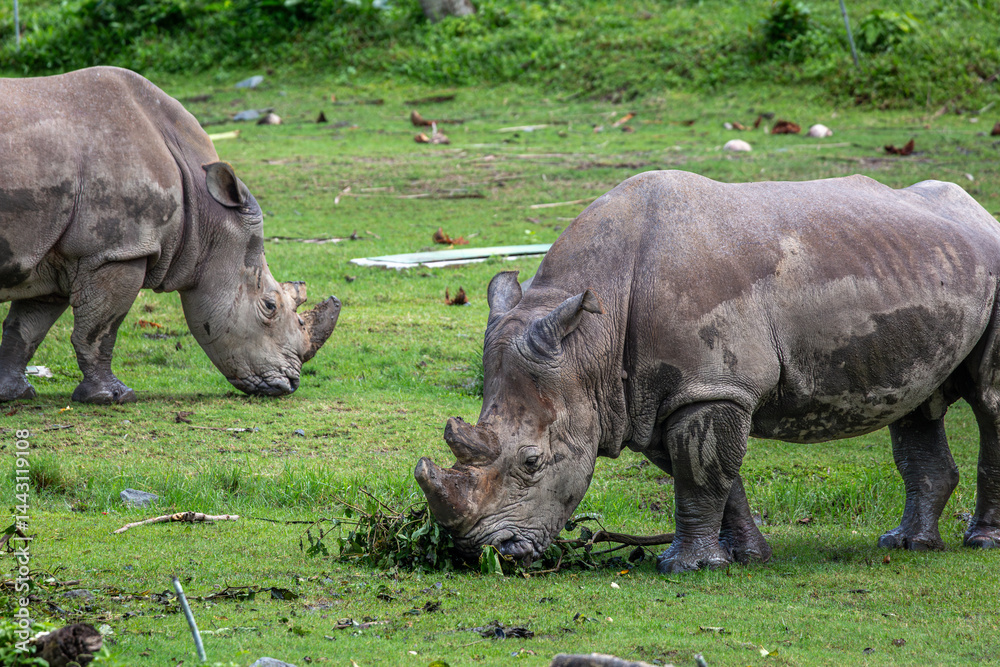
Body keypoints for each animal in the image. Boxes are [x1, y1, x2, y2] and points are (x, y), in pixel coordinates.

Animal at [0, 67, 340, 404]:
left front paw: (13, 394)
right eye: (270, 306)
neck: (206, 212)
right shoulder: (115, 251)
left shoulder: (54, 253)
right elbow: (99, 330)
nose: (289, 385)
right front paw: (113, 396)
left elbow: (26, 328)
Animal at [416, 170, 1000, 572]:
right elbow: (708, 472)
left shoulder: (711, 387)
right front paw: (746, 557)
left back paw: (981, 542)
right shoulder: (663, 394)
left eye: (532, 462)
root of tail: (983, 216)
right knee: (919, 403)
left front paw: (684, 568)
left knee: (989, 400)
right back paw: (908, 544)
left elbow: (700, 473)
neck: (588, 342)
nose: (485, 553)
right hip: (927, 271)